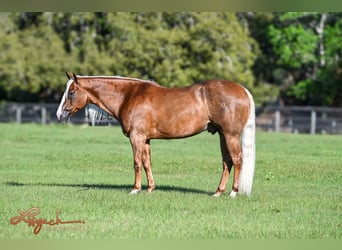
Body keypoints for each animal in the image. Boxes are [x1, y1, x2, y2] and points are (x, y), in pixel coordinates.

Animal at [56, 72, 254, 197]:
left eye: (71, 92)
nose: (60, 115)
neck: (128, 96)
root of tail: (242, 90)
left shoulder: (136, 137)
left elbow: (136, 162)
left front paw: (135, 189)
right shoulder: (146, 139)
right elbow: (146, 163)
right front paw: (150, 188)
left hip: (230, 135)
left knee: (237, 160)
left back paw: (233, 192)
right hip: (222, 135)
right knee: (227, 161)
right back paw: (218, 192)